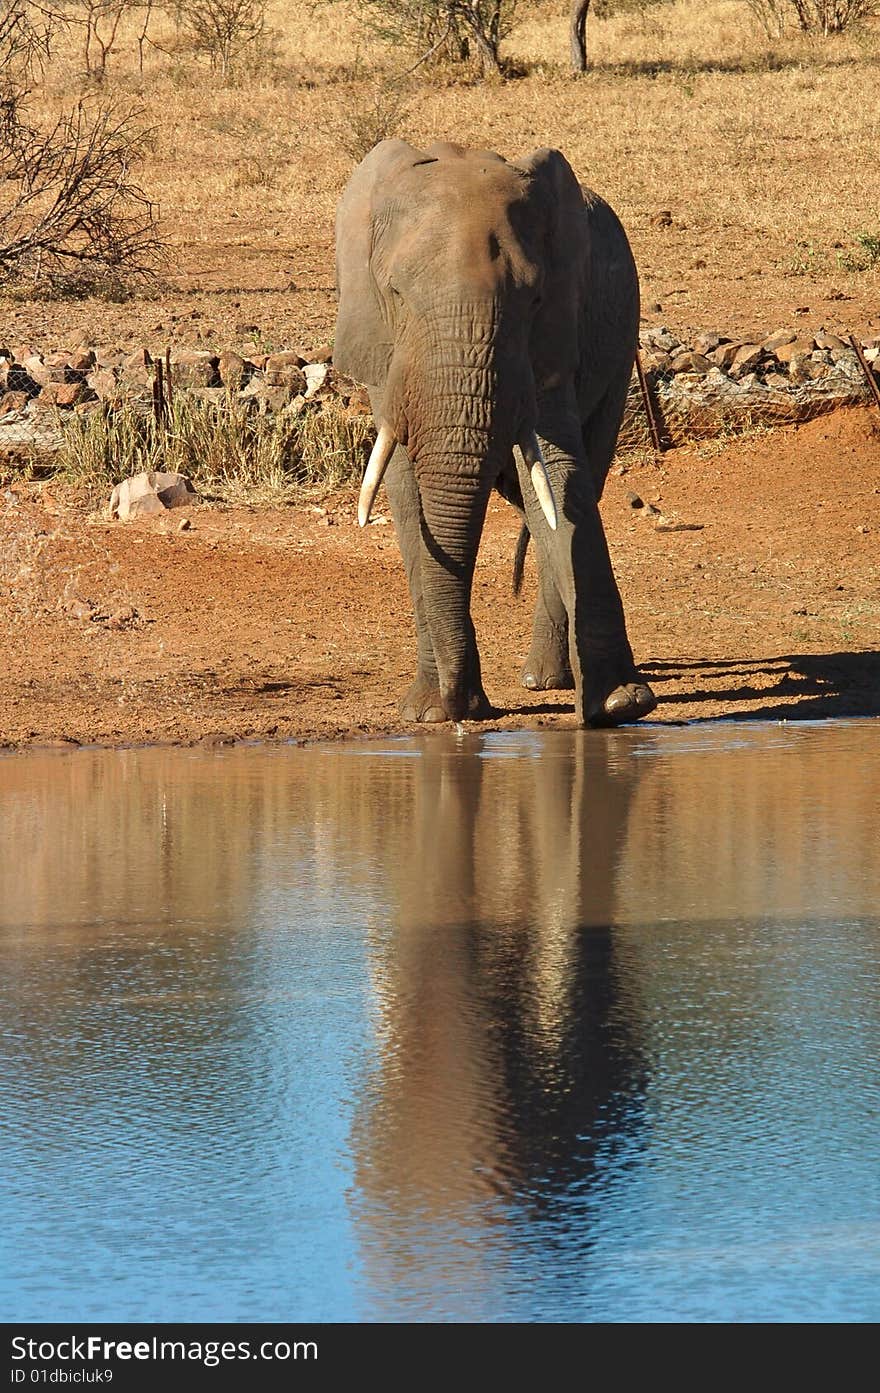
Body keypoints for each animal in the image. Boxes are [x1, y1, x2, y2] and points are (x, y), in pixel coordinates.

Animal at [332, 138, 657, 729]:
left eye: (533, 298)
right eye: (396, 293)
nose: (461, 709)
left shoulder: (549, 339)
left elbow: (557, 473)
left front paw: (621, 705)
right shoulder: (384, 348)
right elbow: (404, 485)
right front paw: (429, 712)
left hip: (621, 340)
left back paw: (547, 680)